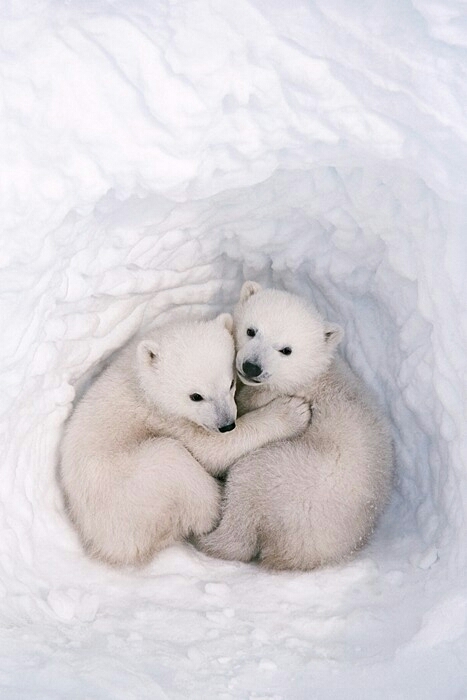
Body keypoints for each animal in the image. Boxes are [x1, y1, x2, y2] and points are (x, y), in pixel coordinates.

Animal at [59, 313, 310, 567]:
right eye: (196, 396)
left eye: (230, 383)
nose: (227, 424)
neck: (141, 379)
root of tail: (109, 547)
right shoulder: (164, 418)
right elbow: (212, 451)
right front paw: (292, 411)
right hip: (138, 488)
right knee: (180, 471)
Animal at [196, 283, 394, 571]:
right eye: (251, 330)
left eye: (286, 350)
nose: (251, 366)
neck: (306, 377)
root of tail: (292, 549)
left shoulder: (270, 396)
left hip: (284, 476)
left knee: (245, 491)